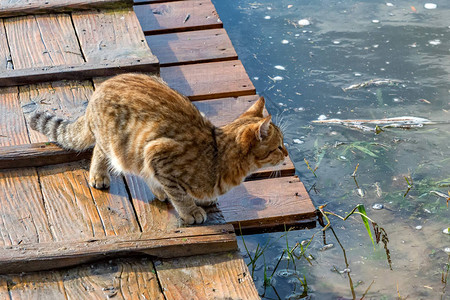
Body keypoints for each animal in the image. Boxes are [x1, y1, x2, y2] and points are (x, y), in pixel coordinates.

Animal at [29, 72, 288, 224]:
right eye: (278, 146)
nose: (287, 153)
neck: (217, 156)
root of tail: (99, 90)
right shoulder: (157, 153)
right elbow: (178, 193)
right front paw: (190, 210)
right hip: (115, 141)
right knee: (100, 152)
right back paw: (99, 175)